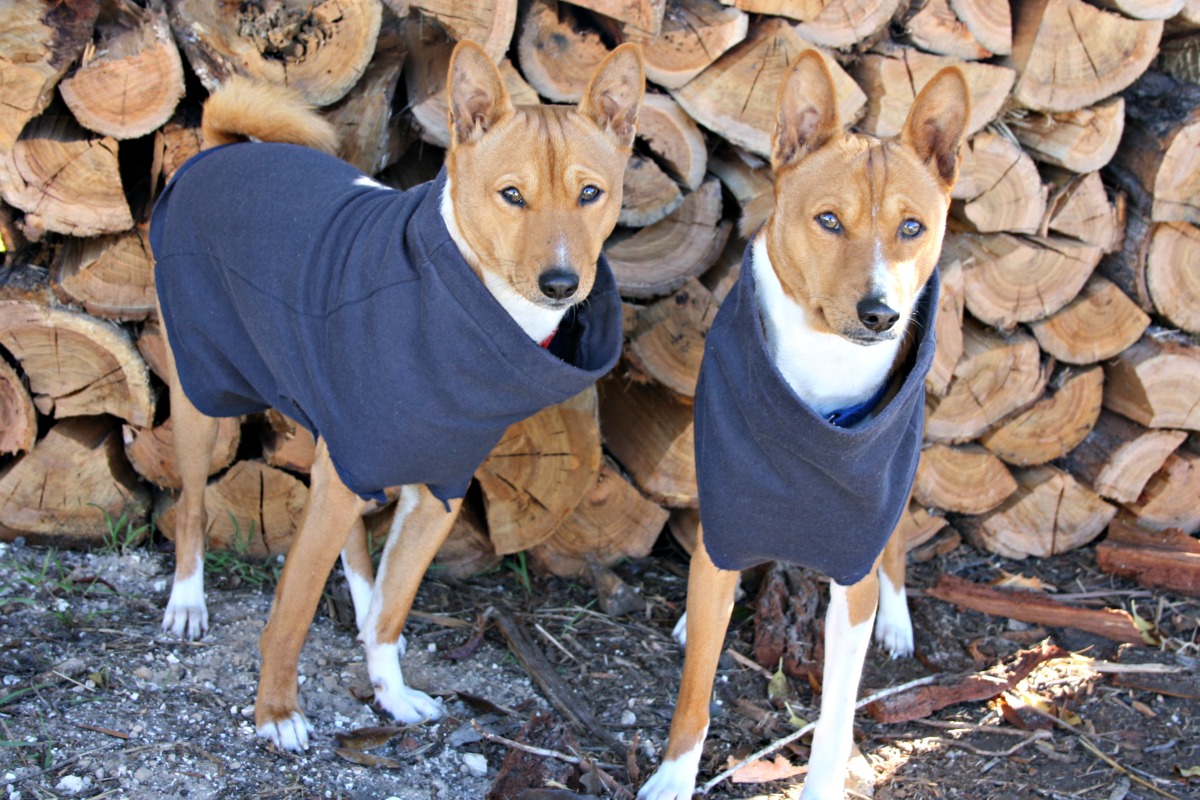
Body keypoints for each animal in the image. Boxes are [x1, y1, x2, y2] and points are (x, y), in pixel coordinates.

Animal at [152, 40, 648, 753]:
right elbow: (291, 611)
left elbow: (393, 610)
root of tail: (219, 150)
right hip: (205, 393)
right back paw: (187, 601)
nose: (561, 282)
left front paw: (389, 691)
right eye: (511, 195)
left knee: (358, 551)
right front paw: (276, 711)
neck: (462, 312)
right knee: (191, 505)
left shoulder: (438, 490)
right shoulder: (345, 473)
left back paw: (360, 605)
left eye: (590, 194)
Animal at [638, 51, 964, 800]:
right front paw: (673, 777)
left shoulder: (852, 570)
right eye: (828, 220)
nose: (880, 313)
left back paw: (897, 619)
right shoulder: (730, 515)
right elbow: (695, 692)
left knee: (895, 546)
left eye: (912, 227)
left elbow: (836, 718)